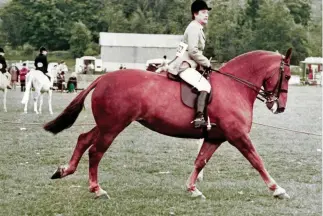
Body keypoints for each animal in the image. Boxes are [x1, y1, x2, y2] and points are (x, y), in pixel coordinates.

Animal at [43, 48, 294, 200]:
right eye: (289, 76)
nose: (280, 107)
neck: (235, 87)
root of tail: (104, 77)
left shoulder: (215, 138)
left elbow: (200, 161)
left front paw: (193, 189)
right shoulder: (238, 136)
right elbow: (257, 161)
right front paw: (277, 189)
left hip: (107, 125)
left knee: (83, 139)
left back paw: (64, 170)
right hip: (113, 127)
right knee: (95, 152)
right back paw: (97, 189)